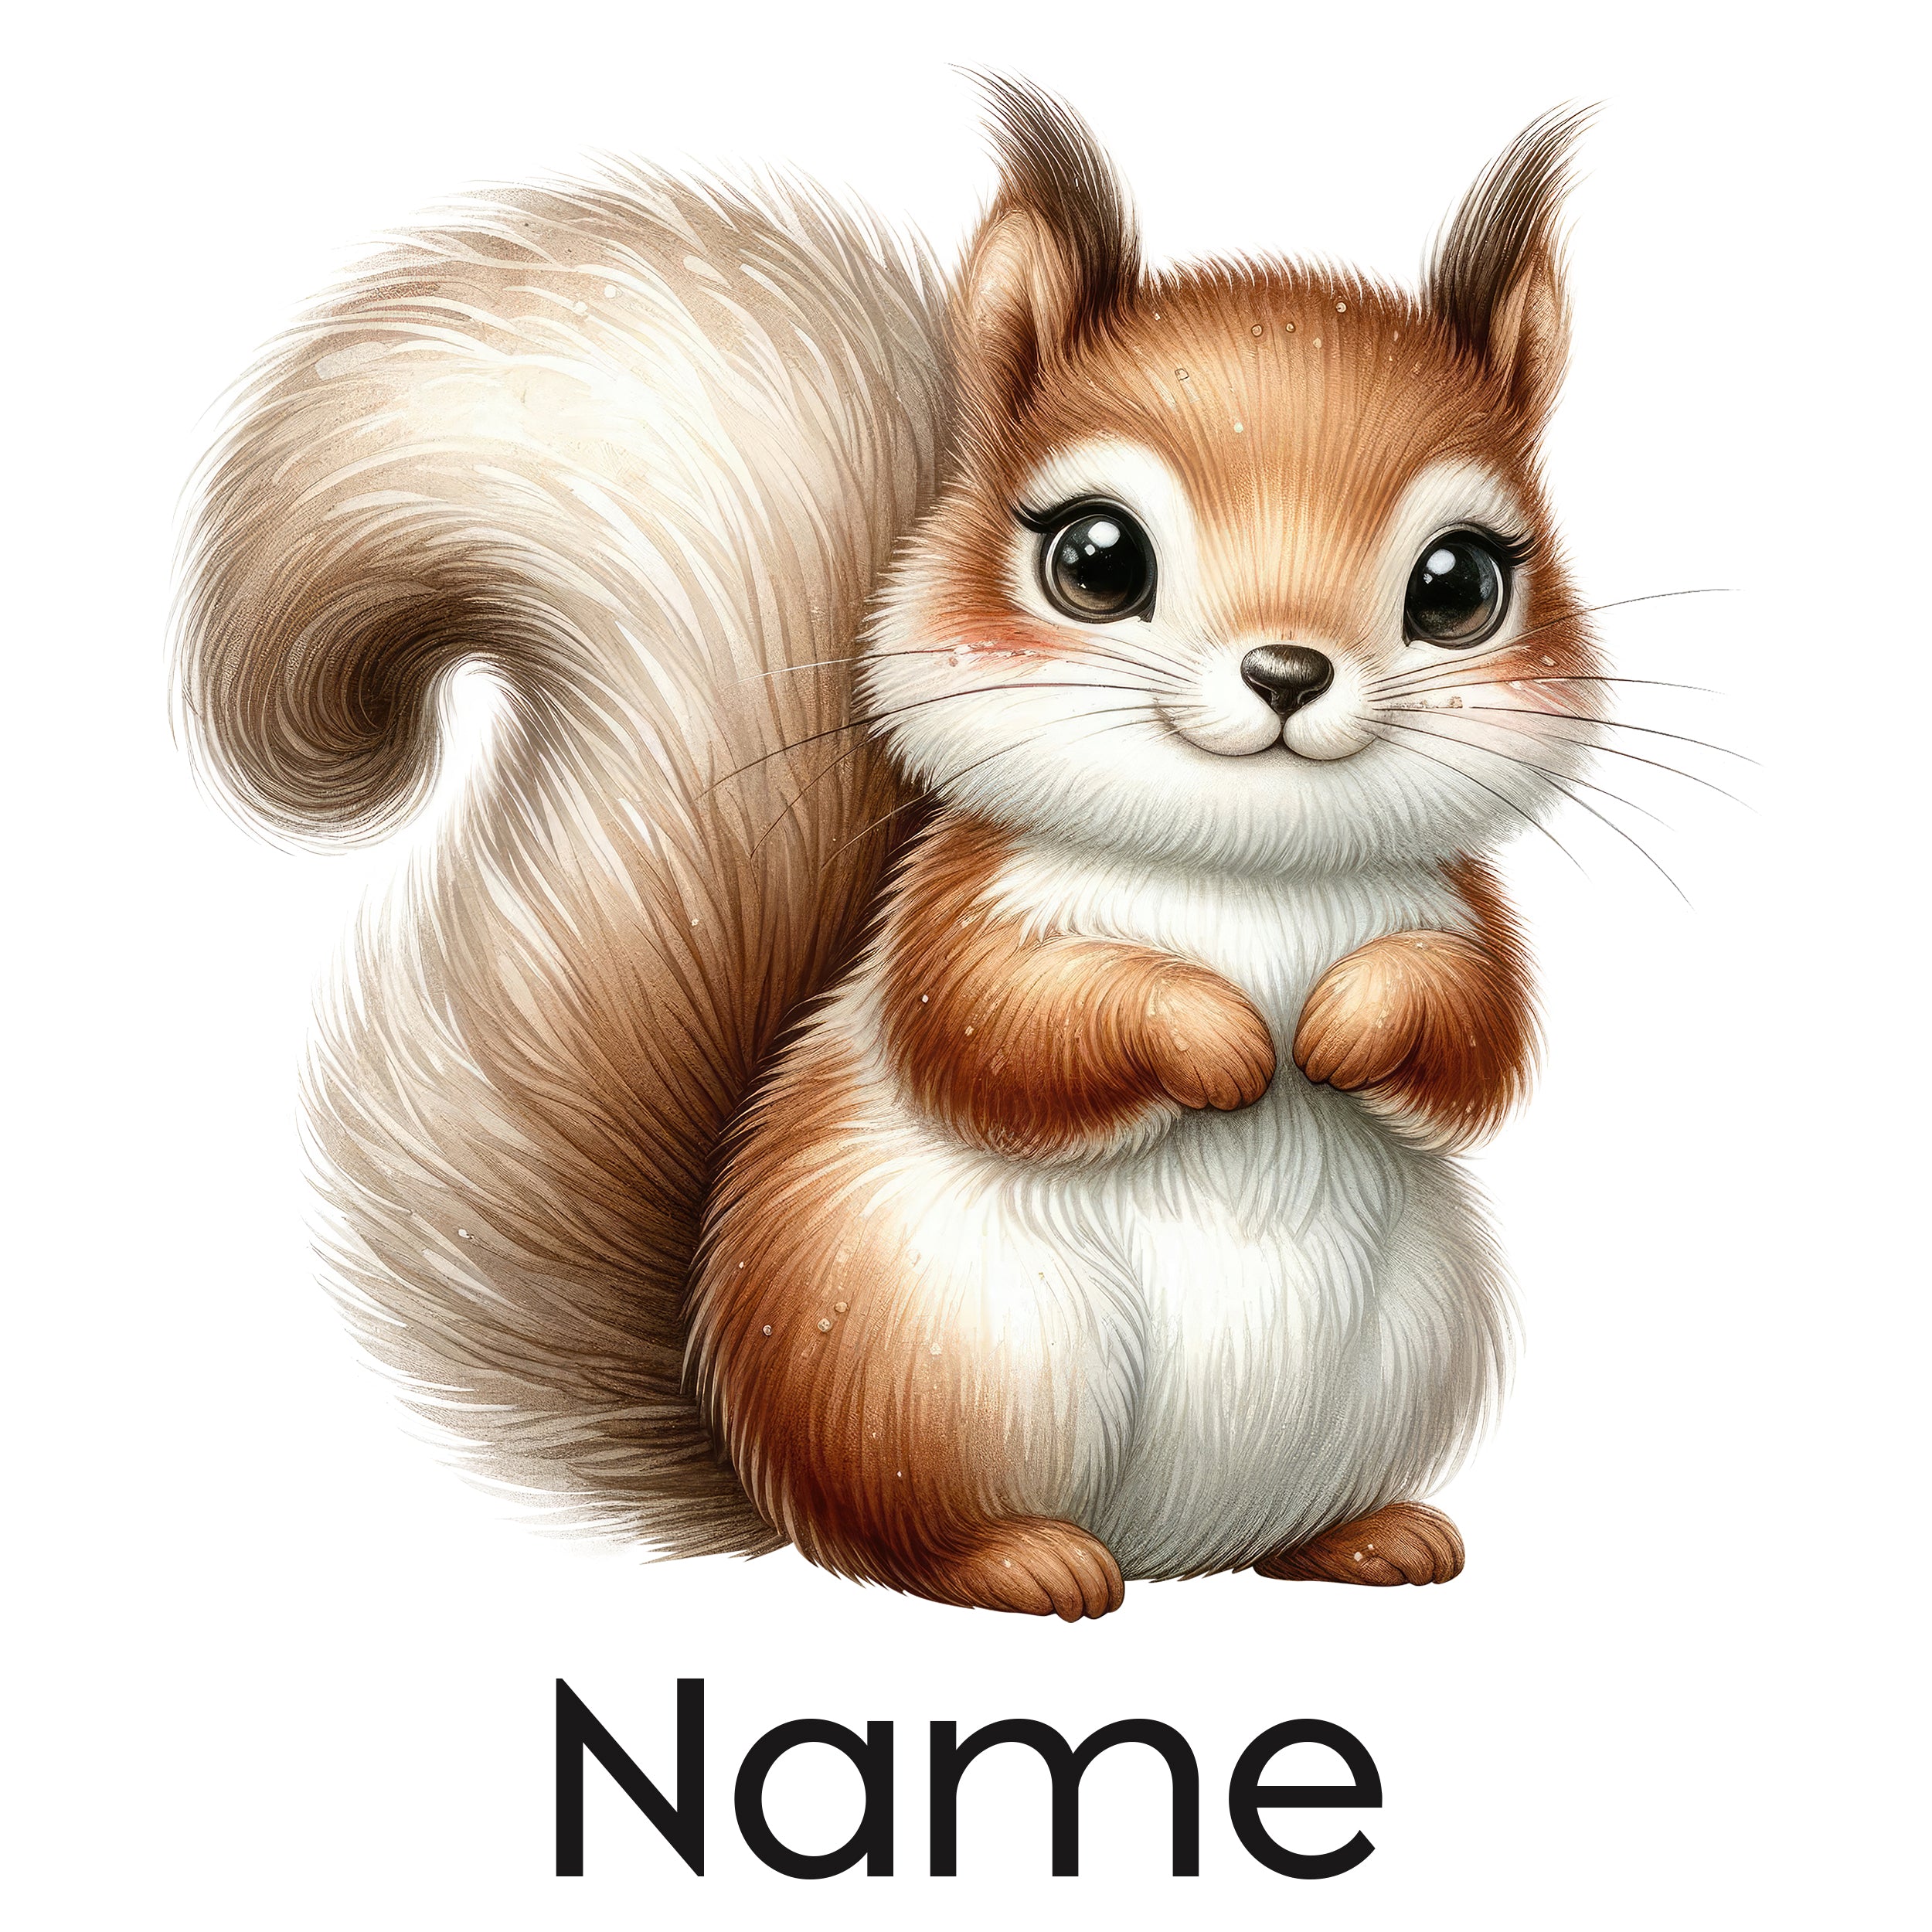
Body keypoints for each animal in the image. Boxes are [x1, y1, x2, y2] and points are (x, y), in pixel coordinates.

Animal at [175, 78, 1600, 1618]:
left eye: (1460, 584)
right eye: (1095, 558)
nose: (1288, 671)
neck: (1248, 877)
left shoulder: (1460, 908)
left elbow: (1479, 1036)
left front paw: (1347, 1026)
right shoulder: (953, 910)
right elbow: (998, 1033)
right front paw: (1219, 1040)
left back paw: (1367, 1536)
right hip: (941, 1365)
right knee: (891, 1542)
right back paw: (1024, 1560)